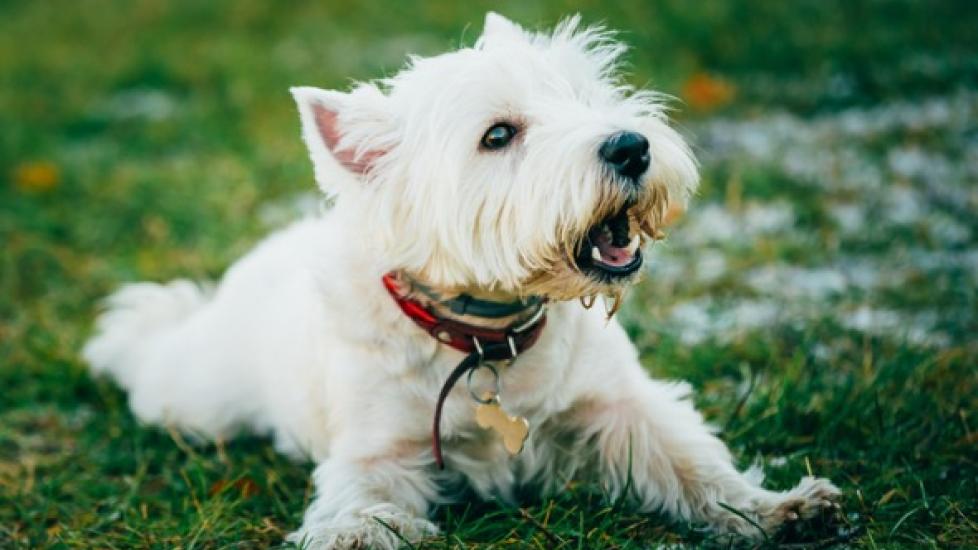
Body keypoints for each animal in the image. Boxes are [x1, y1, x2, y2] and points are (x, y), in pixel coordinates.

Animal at [82, 14, 840, 550]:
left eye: (583, 97)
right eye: (498, 135)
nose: (631, 146)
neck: (488, 337)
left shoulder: (619, 405)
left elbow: (691, 461)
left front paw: (780, 508)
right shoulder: (377, 448)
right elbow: (363, 494)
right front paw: (358, 532)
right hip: (195, 394)